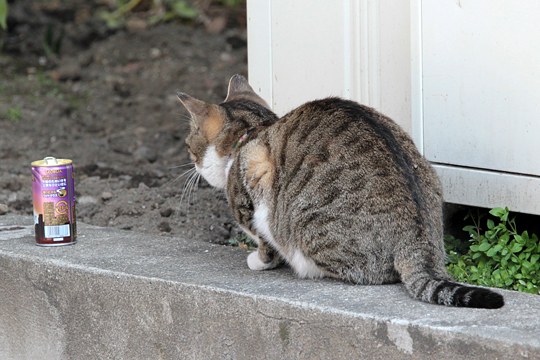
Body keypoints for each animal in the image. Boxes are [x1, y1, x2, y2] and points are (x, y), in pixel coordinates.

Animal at [179, 74, 504, 308]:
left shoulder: (253, 201)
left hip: (308, 227)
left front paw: (258, 261)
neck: (251, 133)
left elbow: (264, 243)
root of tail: (419, 241)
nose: (191, 163)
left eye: (188, 143)